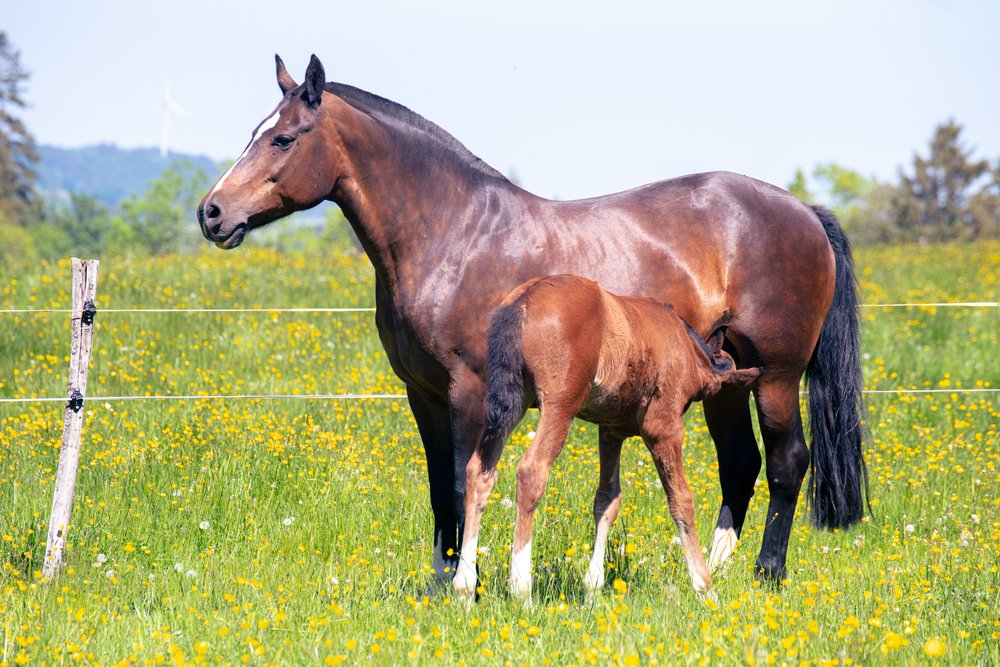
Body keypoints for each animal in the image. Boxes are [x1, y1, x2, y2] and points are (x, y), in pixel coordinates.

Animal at [452, 275, 762, 603]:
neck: (687, 347)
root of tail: (523, 300)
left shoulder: (611, 430)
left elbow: (607, 501)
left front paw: (593, 588)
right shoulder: (663, 428)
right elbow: (681, 500)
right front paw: (705, 587)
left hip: (511, 403)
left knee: (479, 472)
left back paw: (464, 588)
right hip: (560, 405)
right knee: (531, 471)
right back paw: (522, 590)